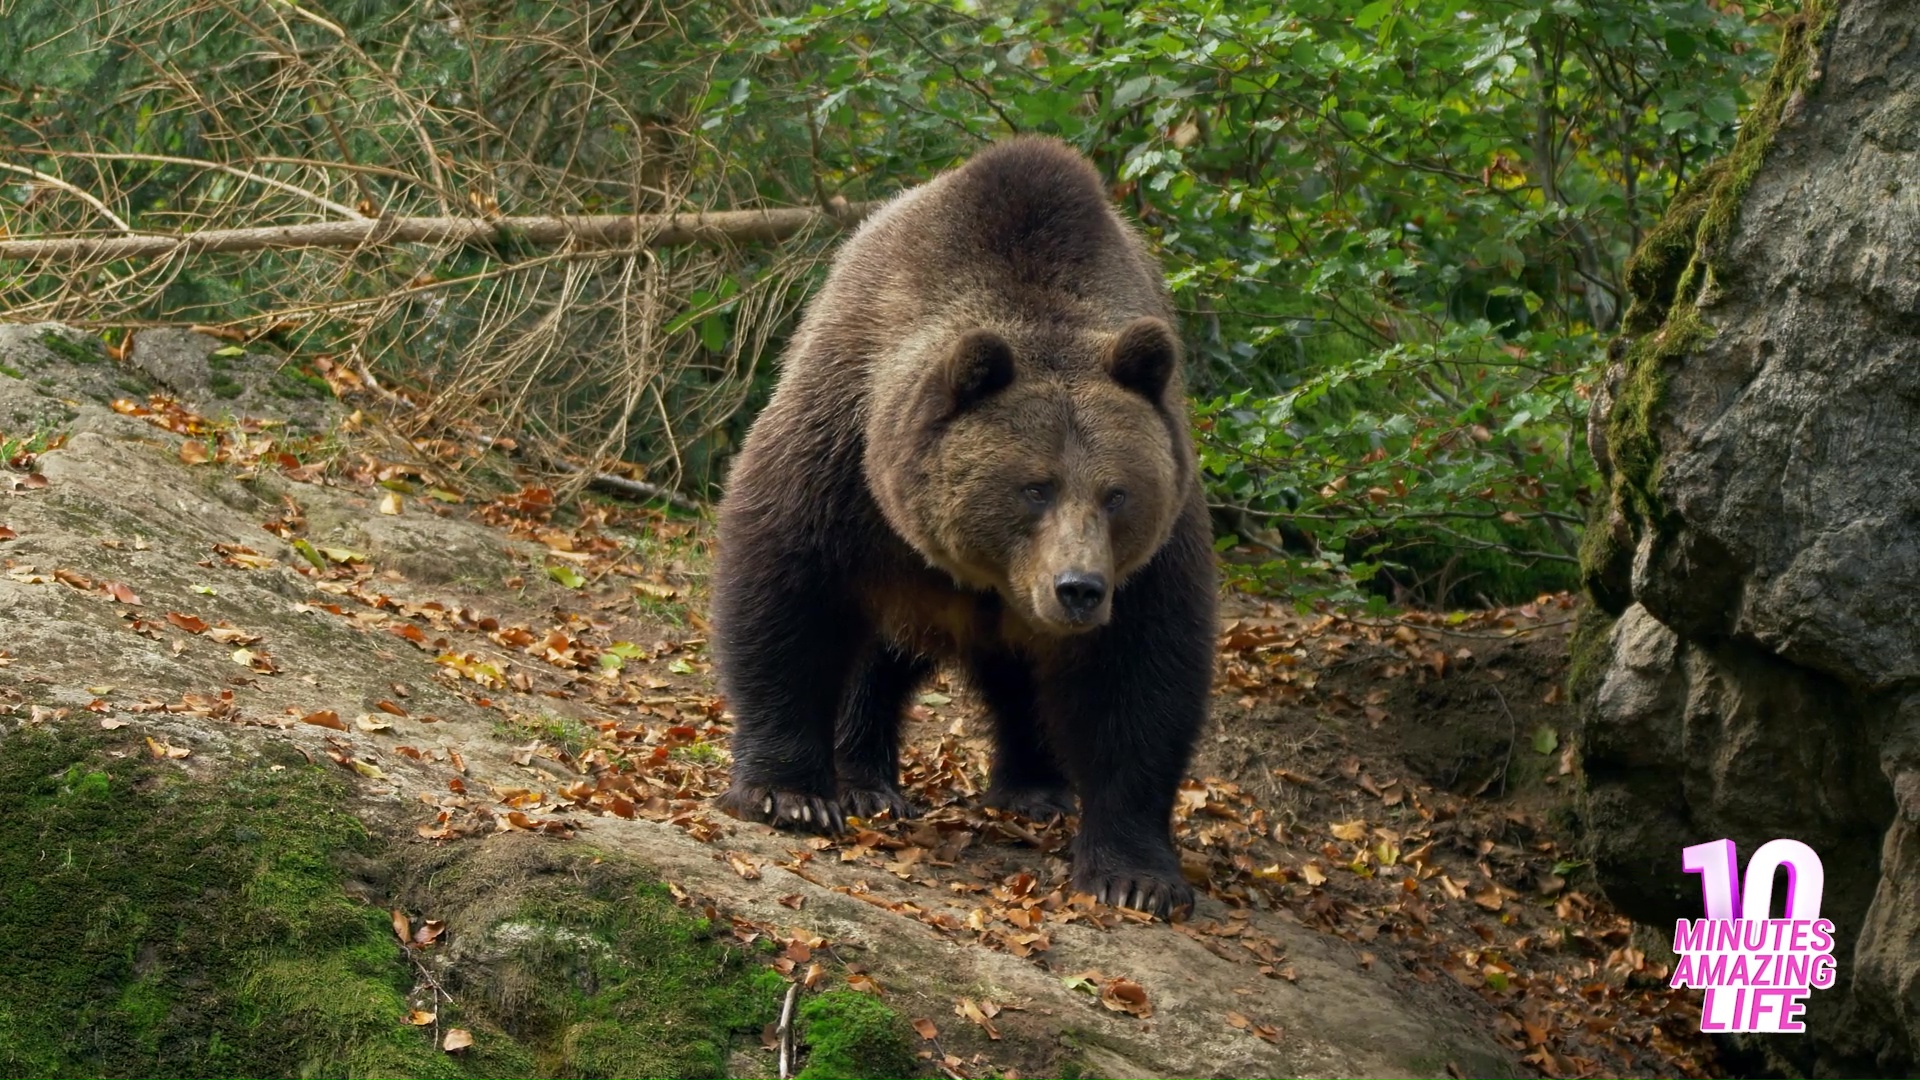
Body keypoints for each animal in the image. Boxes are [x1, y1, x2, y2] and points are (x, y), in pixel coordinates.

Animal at [710, 136, 1217, 919]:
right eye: (1035, 486)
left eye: (1117, 494)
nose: (1079, 588)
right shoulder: (844, 448)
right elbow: (786, 587)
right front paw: (789, 794)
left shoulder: (1152, 556)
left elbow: (1142, 677)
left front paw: (1136, 876)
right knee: (875, 658)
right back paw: (865, 780)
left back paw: (1035, 789)